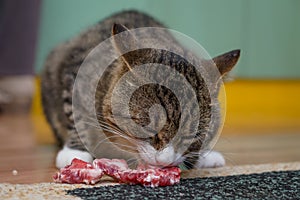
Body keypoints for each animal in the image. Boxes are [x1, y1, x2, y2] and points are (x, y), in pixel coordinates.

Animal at [41, 9, 240, 169]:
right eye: (148, 127)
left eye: (190, 136)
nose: (164, 161)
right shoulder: (75, 71)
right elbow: (75, 114)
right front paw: (76, 151)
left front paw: (202, 156)